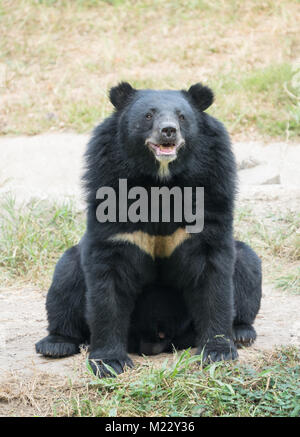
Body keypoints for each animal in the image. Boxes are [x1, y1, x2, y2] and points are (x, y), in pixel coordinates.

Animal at [35, 83, 262, 376]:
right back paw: (56, 344)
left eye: (181, 117)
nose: (168, 131)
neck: (161, 182)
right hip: (70, 269)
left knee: (247, 264)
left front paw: (218, 352)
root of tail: (157, 341)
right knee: (65, 279)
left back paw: (241, 332)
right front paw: (109, 362)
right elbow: (108, 281)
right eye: (148, 116)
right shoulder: (110, 186)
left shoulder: (212, 188)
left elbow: (213, 276)